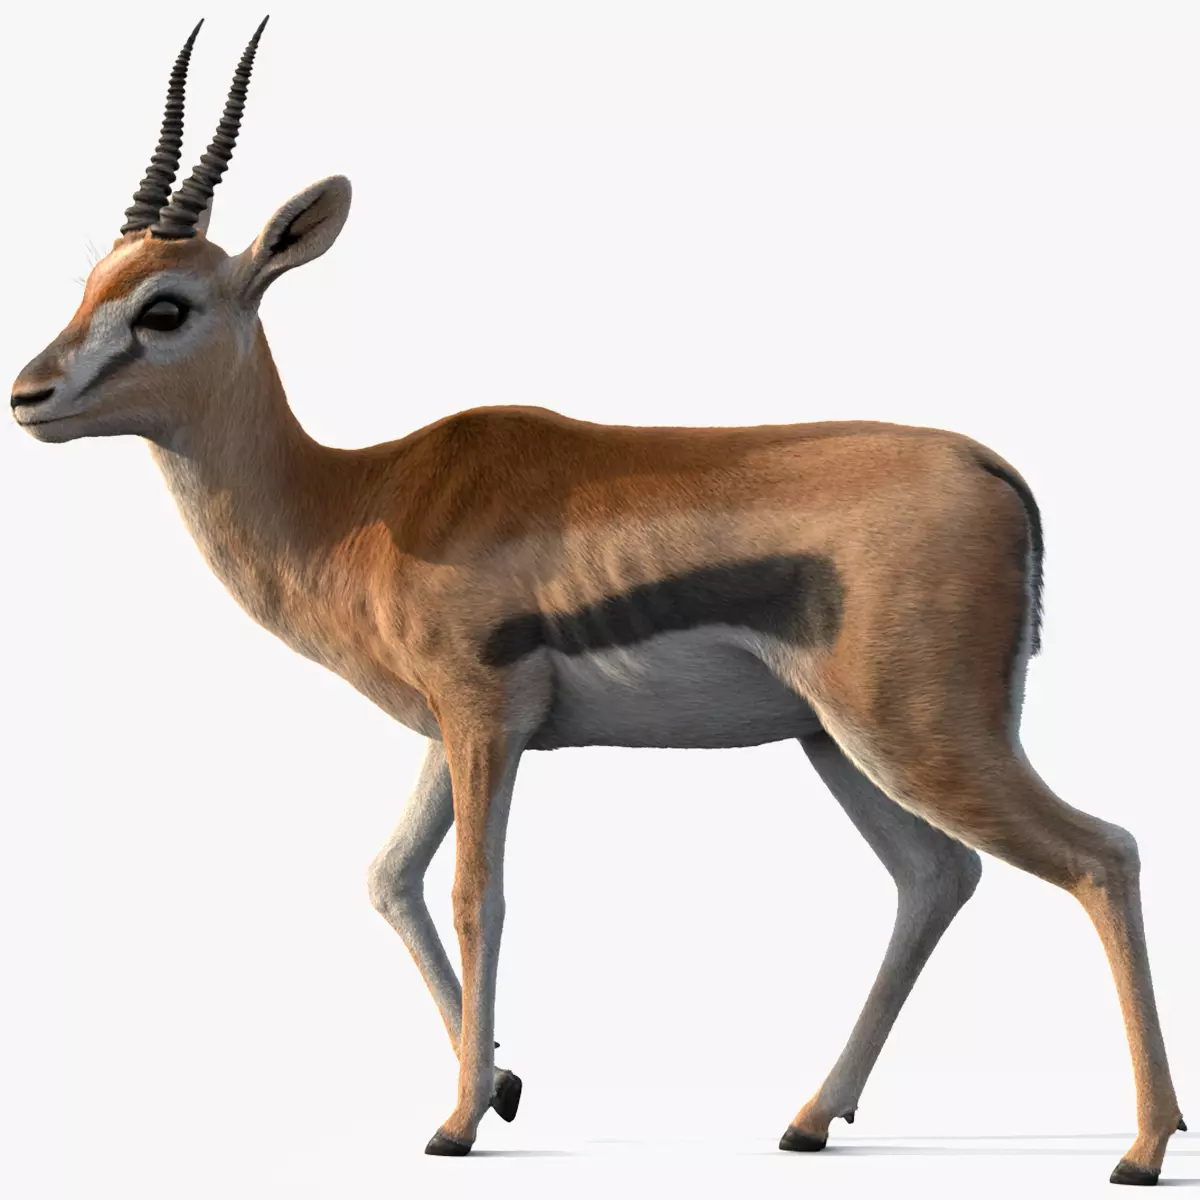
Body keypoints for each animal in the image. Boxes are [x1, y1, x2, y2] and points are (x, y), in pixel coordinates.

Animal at [10, 18, 1187, 1185]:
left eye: (165, 307)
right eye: (92, 285)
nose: (27, 395)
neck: (359, 502)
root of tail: (993, 469)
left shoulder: (486, 717)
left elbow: (473, 893)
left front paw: (458, 1123)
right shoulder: (449, 728)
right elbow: (390, 878)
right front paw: (502, 1086)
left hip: (922, 737)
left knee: (1101, 854)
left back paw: (1140, 1147)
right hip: (836, 743)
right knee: (938, 877)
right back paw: (810, 1120)